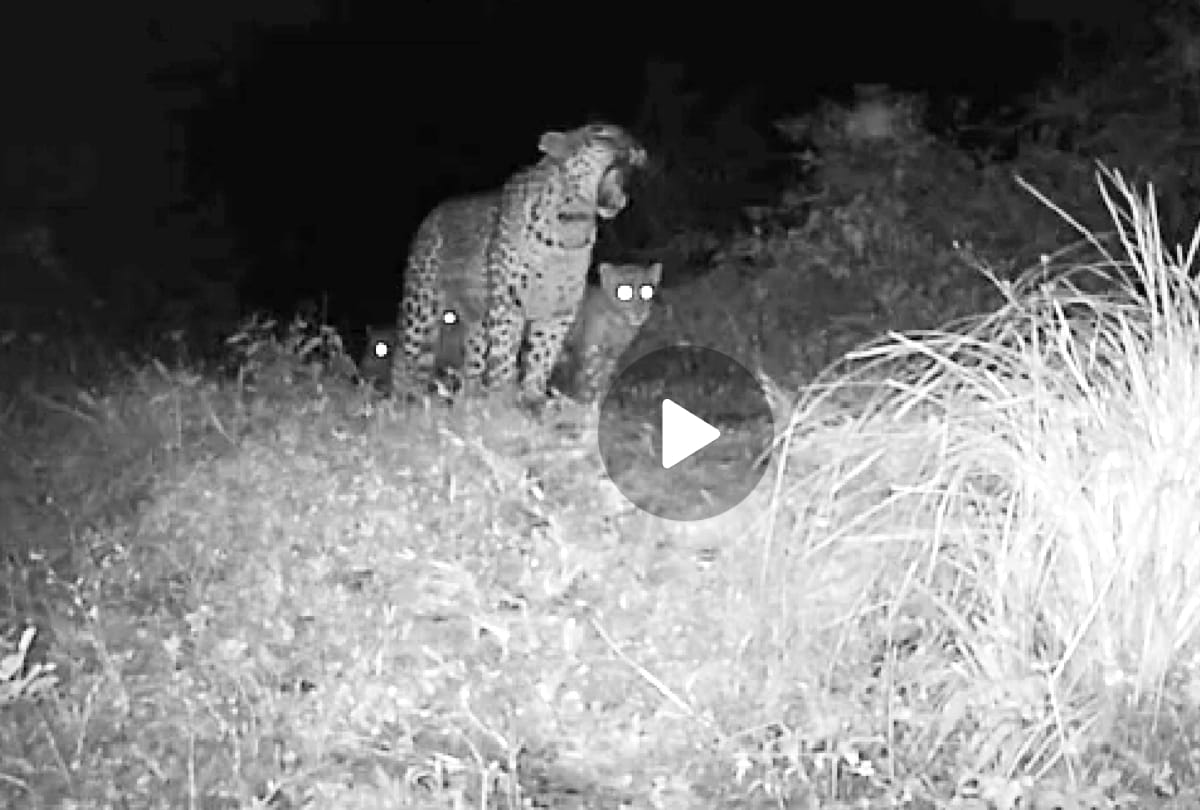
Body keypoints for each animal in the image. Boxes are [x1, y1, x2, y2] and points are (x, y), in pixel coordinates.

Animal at [396, 122, 647, 407]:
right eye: (600, 133)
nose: (639, 148)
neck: (571, 228)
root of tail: (431, 216)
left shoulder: (559, 310)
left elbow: (543, 355)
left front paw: (534, 398)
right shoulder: (508, 304)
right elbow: (505, 355)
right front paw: (505, 401)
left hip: (476, 318)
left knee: (471, 361)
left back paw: (469, 402)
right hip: (421, 306)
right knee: (405, 355)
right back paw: (401, 399)